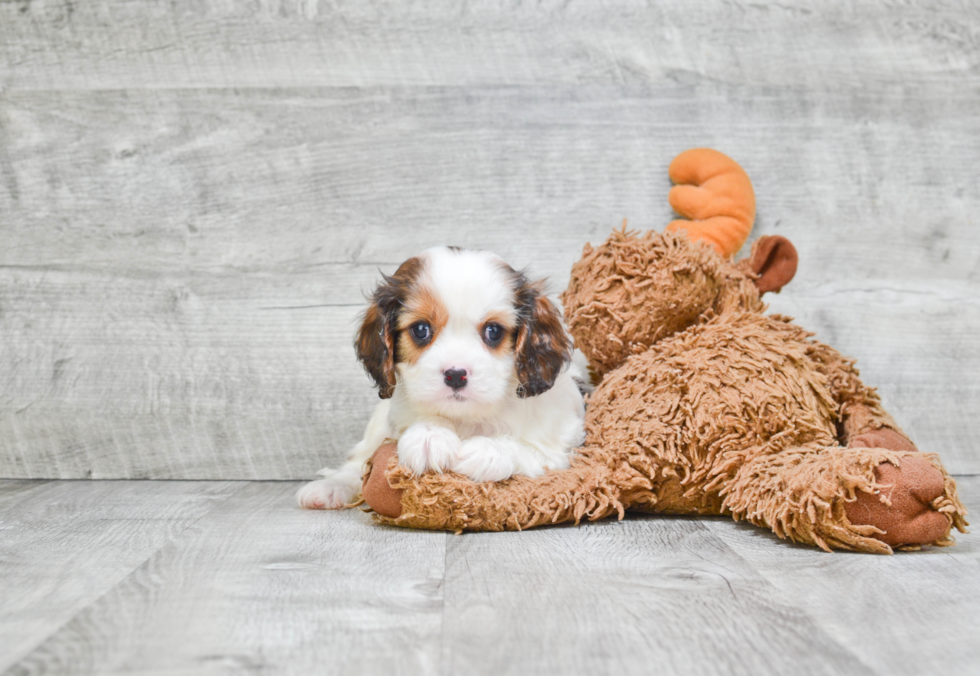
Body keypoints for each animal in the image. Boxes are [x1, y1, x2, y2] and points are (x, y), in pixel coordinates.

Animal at [296, 246, 588, 510]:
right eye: (421, 329)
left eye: (493, 331)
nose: (456, 374)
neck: (467, 418)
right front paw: (429, 434)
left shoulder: (563, 442)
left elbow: (533, 448)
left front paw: (491, 450)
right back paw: (332, 486)